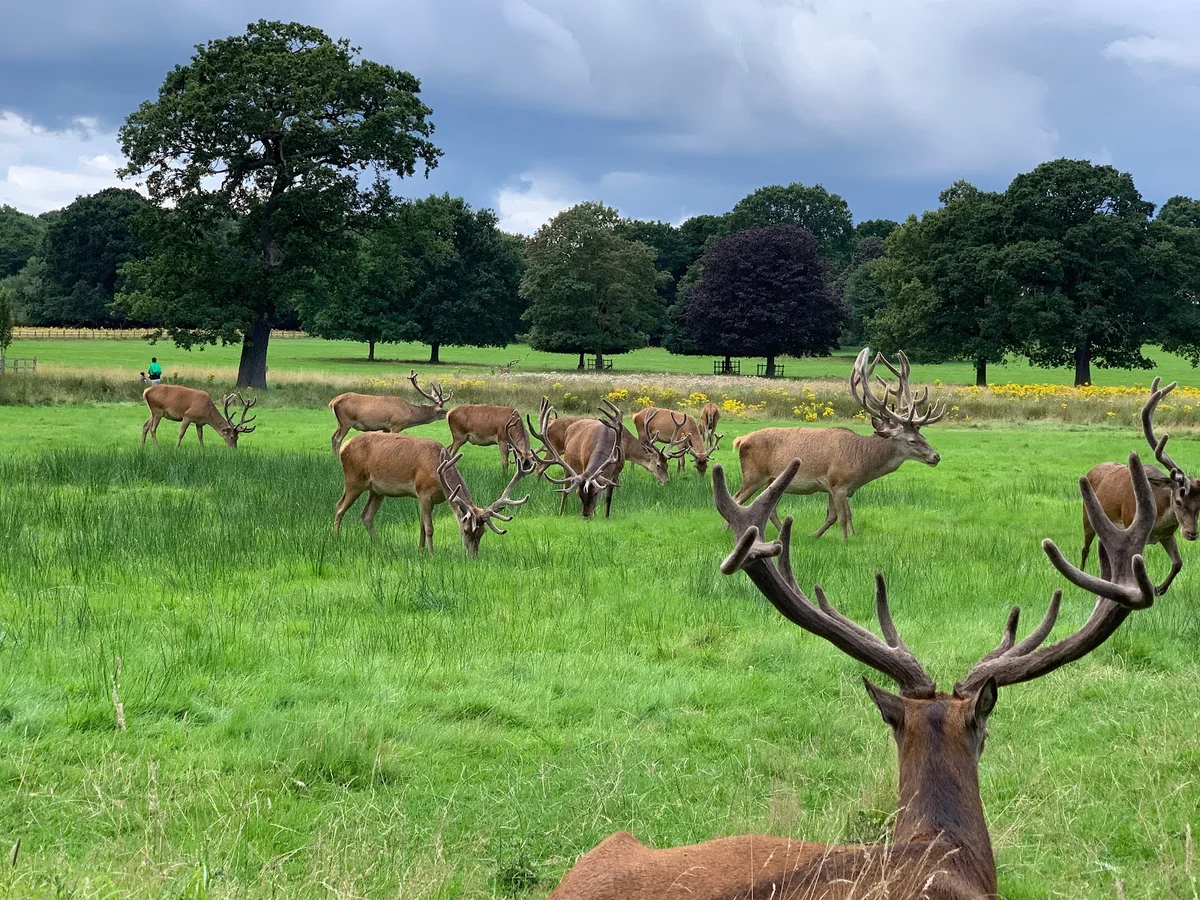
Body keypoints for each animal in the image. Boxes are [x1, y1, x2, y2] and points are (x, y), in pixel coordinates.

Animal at [333, 421, 529, 556]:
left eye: (482, 532)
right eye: (466, 530)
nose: (473, 555)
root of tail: (344, 447)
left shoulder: (430, 499)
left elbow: (421, 525)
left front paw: (420, 550)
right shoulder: (423, 492)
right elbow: (429, 527)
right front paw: (431, 553)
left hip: (377, 490)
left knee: (366, 515)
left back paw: (378, 544)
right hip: (354, 479)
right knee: (339, 507)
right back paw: (336, 538)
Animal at [538, 410, 689, 515]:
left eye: (667, 465)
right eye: (658, 465)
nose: (667, 481)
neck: (627, 447)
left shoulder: (616, 470)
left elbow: (609, 495)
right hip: (564, 460)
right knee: (561, 488)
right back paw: (560, 511)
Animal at [733, 347, 945, 541]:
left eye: (923, 436)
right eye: (912, 440)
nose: (936, 456)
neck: (861, 464)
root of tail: (740, 440)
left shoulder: (835, 487)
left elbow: (836, 516)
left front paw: (821, 535)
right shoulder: (838, 482)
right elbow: (842, 516)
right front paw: (844, 541)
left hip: (771, 481)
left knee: (769, 509)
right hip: (753, 474)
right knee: (737, 498)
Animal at [1081, 376, 1200, 596]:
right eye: (1178, 501)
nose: (1192, 533)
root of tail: (1094, 468)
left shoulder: (1167, 534)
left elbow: (1178, 563)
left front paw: (1159, 588)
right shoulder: (1133, 526)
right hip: (1086, 515)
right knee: (1085, 548)